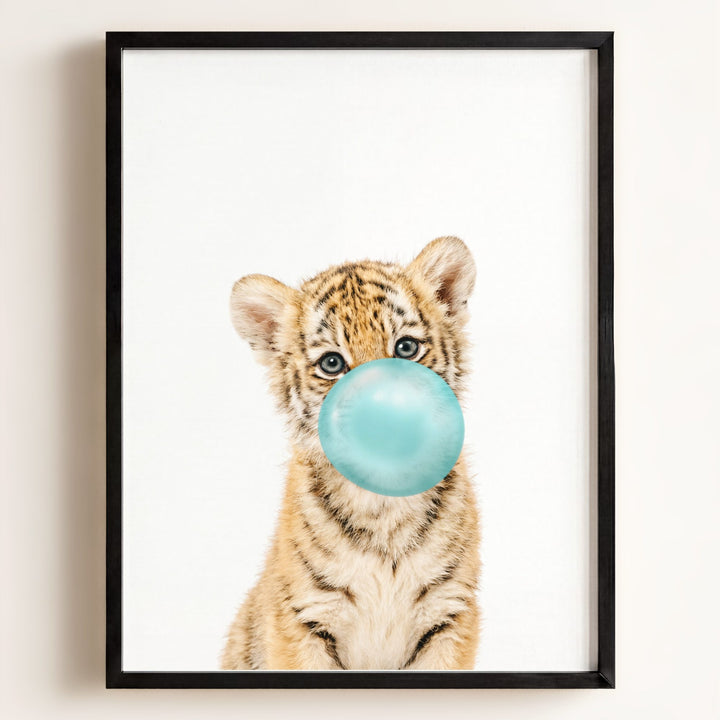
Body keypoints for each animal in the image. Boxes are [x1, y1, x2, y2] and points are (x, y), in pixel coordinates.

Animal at [221, 236, 480, 670]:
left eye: (406, 347)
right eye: (332, 363)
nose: (383, 414)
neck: (385, 503)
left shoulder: (450, 613)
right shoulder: (303, 618)